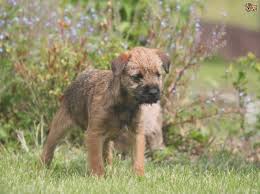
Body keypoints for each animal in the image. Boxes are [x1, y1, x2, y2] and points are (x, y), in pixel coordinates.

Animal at [40, 46, 171, 176]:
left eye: (158, 74)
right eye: (137, 76)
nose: (154, 92)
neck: (125, 104)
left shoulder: (137, 133)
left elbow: (138, 158)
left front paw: (139, 176)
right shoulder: (94, 133)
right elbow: (96, 160)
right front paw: (98, 177)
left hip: (106, 138)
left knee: (107, 154)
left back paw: (110, 169)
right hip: (59, 126)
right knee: (49, 147)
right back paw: (42, 167)